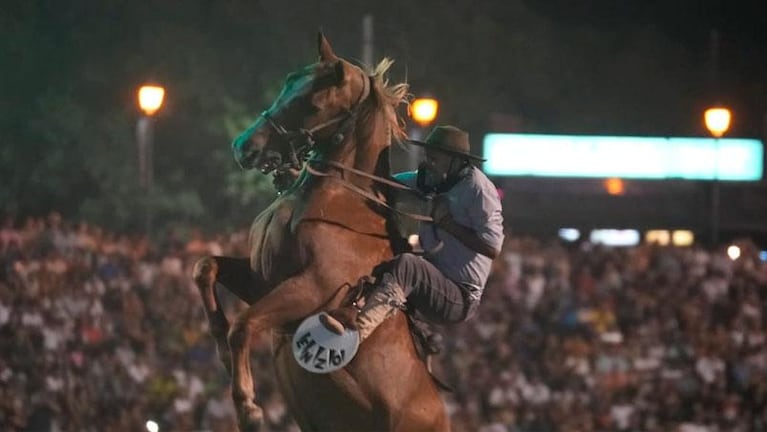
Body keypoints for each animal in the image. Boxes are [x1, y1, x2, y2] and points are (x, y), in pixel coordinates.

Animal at [192, 34, 452, 432]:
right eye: (287, 84)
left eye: (312, 103)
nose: (244, 147)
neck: (335, 199)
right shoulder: (261, 281)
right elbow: (205, 268)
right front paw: (220, 350)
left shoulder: (313, 289)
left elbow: (244, 325)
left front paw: (249, 407)